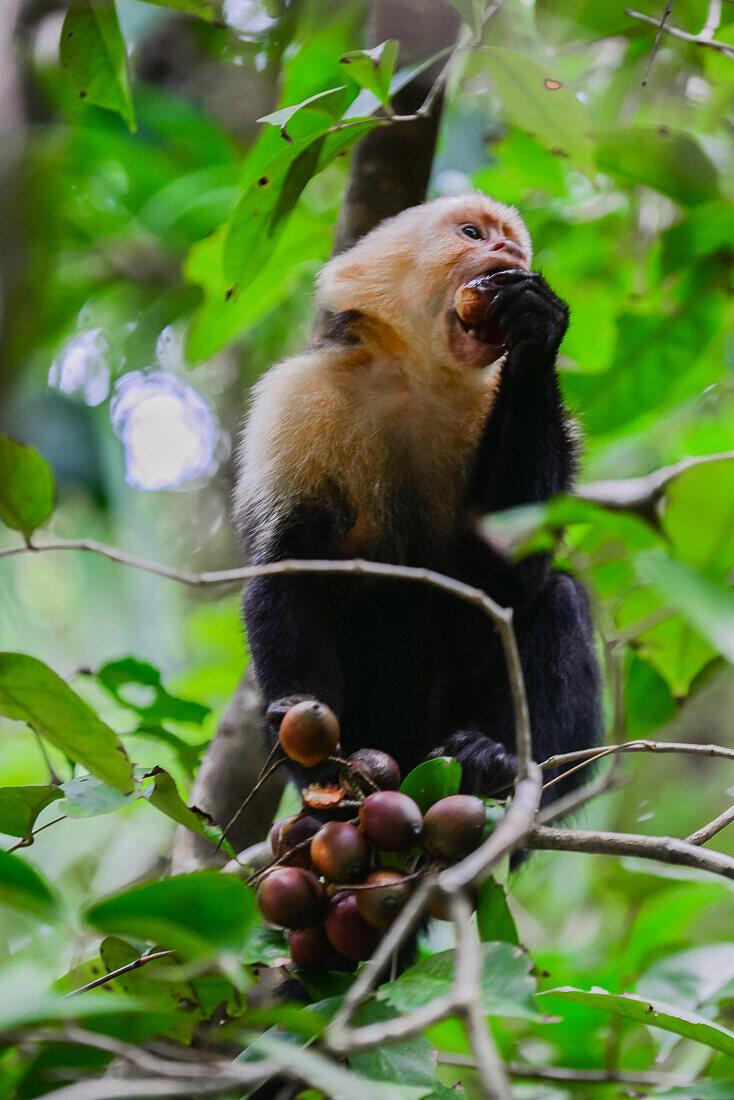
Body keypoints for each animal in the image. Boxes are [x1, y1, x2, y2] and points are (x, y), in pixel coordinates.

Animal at [238, 193, 598, 805]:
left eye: (514, 247)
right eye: (473, 233)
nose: (505, 253)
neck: (419, 378)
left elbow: (504, 579)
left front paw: (537, 332)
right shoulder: (298, 398)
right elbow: (292, 568)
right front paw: (306, 739)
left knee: (560, 596)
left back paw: (495, 762)